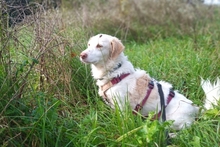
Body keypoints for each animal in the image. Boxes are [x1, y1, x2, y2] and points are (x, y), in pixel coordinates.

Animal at [79, 33, 220, 130]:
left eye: (99, 46)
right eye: (89, 45)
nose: (81, 55)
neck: (115, 71)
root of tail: (195, 108)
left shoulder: (122, 107)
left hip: (172, 121)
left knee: (185, 130)